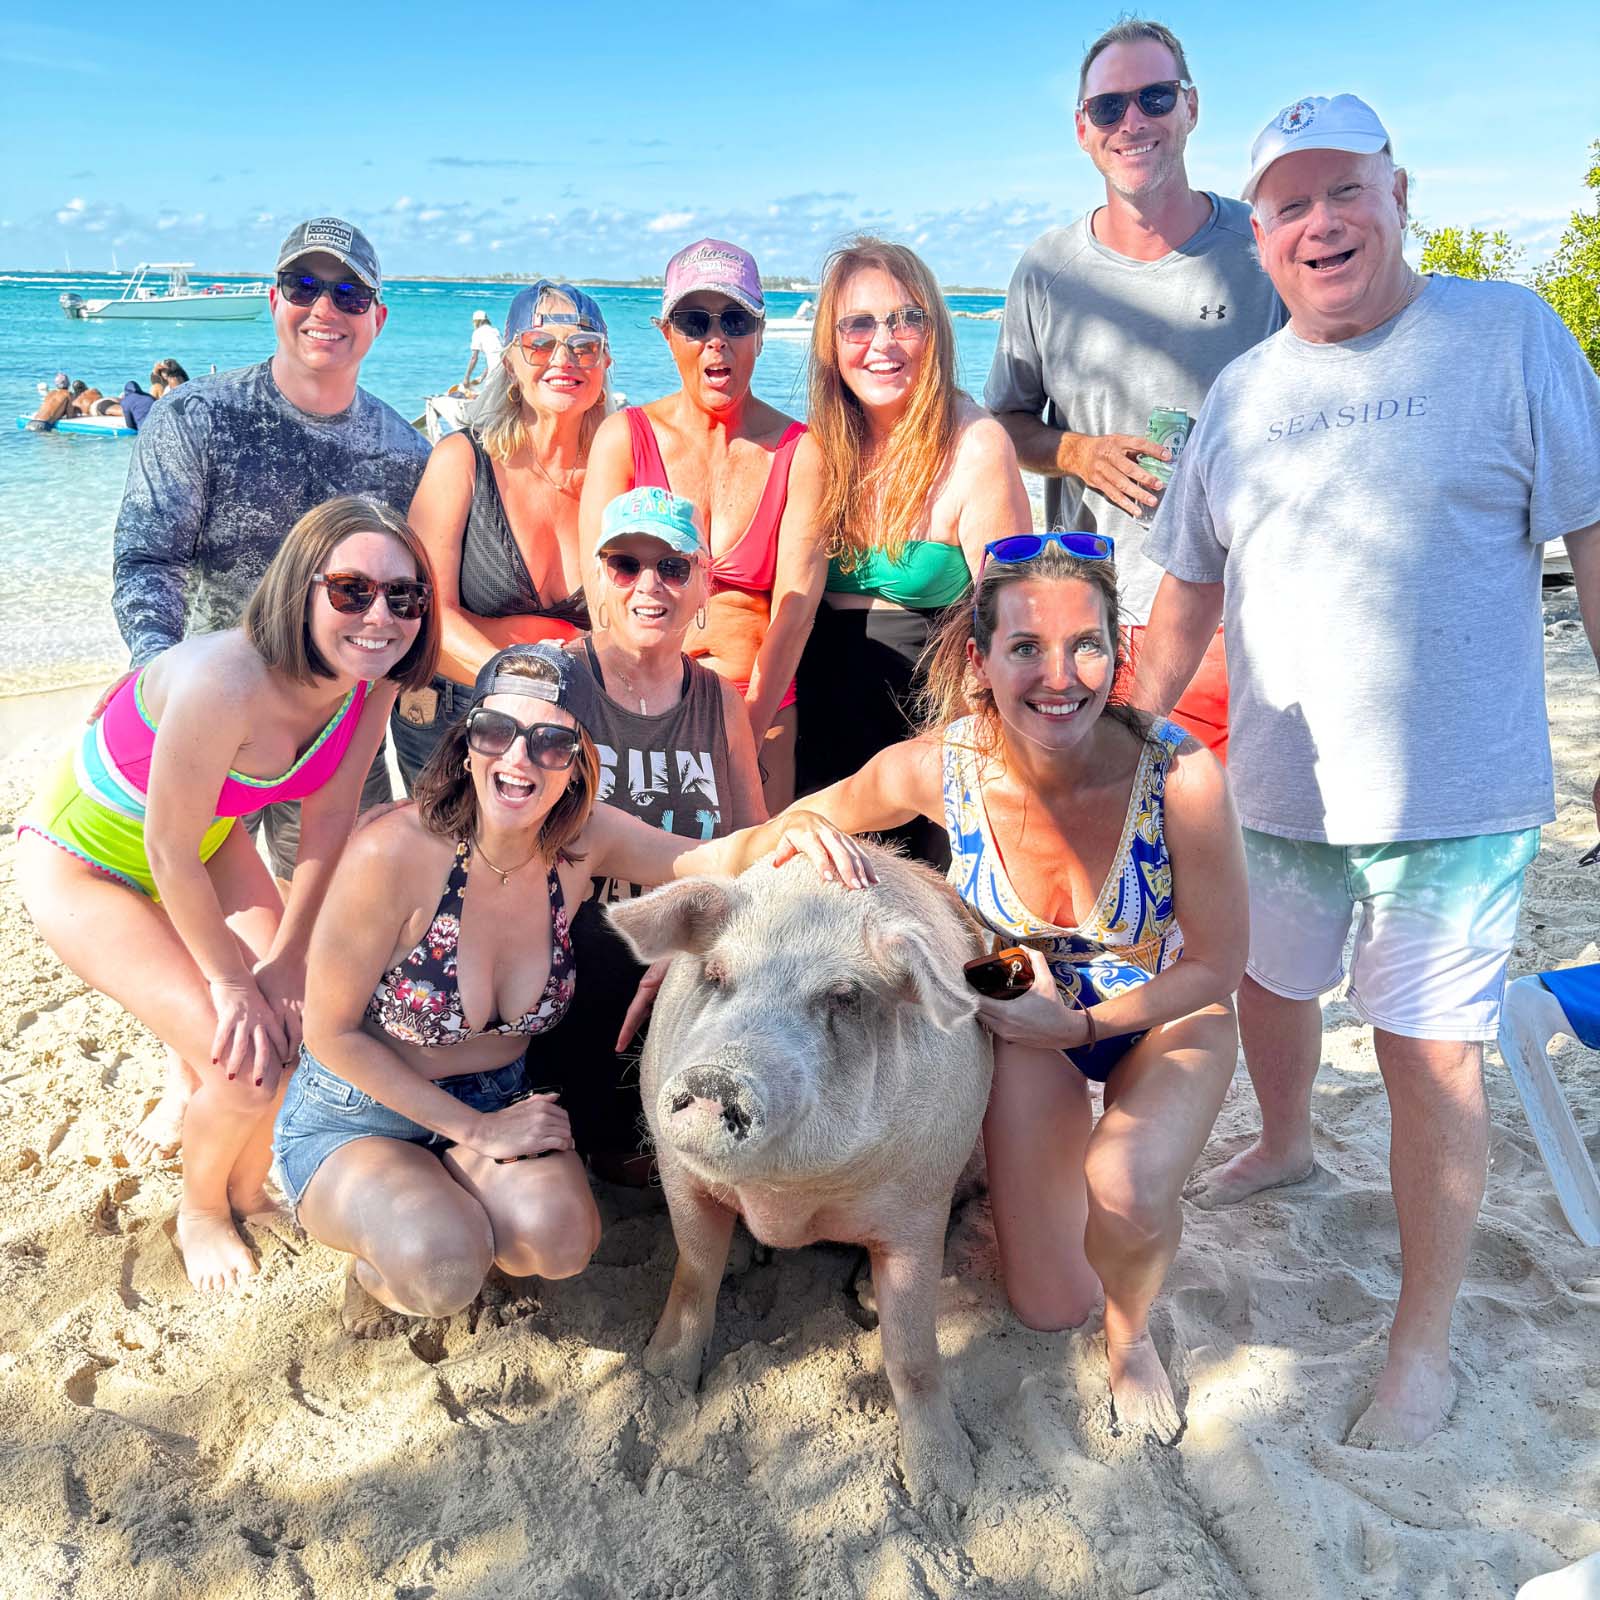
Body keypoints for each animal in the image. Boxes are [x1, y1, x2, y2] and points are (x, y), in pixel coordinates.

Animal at [607, 843, 993, 1514]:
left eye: (842, 996)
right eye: (715, 974)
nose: (716, 1079)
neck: (784, 1199)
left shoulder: (923, 1197)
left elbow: (913, 1349)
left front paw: (947, 1494)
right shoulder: (677, 1173)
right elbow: (693, 1275)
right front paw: (659, 1381)